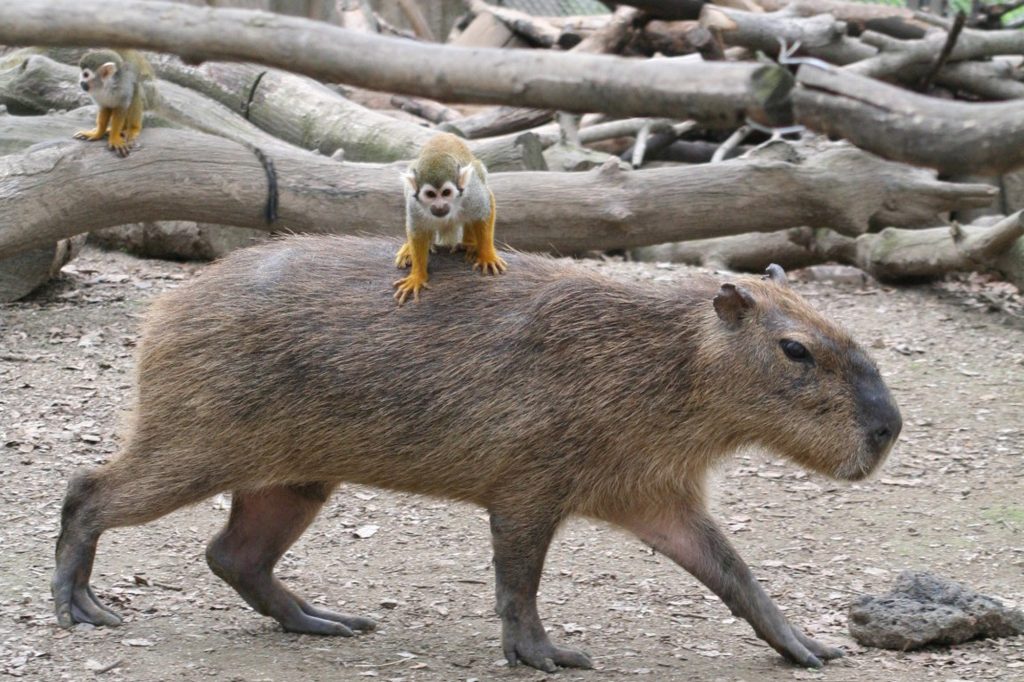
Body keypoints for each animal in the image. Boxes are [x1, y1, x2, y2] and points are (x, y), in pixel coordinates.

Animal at [393, 133, 505, 303]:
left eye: (446, 193)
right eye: (430, 194)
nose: (440, 206)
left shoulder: (471, 192)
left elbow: (485, 209)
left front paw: (487, 255)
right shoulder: (414, 204)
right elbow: (418, 232)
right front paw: (417, 276)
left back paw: (469, 244)